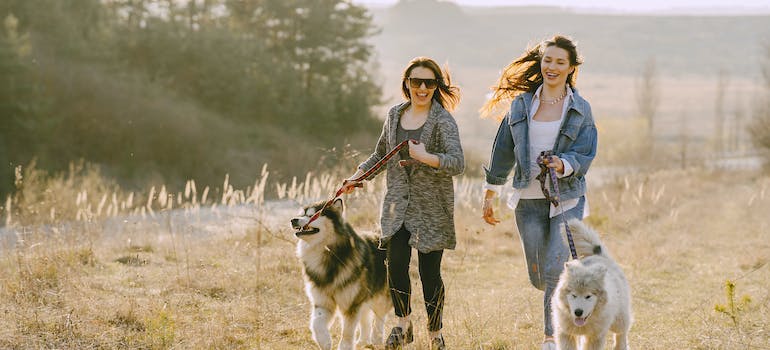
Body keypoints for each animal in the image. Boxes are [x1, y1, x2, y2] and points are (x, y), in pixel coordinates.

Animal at [292, 198, 392, 348]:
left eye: (312, 215)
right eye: (302, 214)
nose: (293, 220)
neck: (329, 255)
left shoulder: (351, 304)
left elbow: (347, 332)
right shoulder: (323, 301)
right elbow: (316, 324)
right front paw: (325, 341)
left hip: (380, 295)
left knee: (379, 317)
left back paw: (376, 339)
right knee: (366, 318)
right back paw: (362, 341)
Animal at [548, 220, 632, 348]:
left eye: (588, 296)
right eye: (573, 295)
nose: (578, 312)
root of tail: (599, 255)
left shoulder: (595, 337)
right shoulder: (565, 334)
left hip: (619, 320)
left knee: (621, 334)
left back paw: (620, 346)